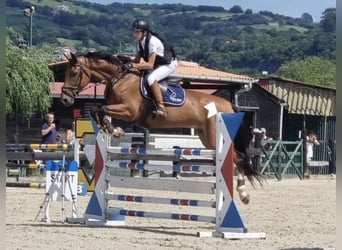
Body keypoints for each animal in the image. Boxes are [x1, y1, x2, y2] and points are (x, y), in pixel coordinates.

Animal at [60, 51, 260, 204]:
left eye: (74, 72)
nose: (65, 99)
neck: (120, 79)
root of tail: (228, 105)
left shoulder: (129, 111)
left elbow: (100, 109)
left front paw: (114, 130)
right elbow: (97, 110)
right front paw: (111, 129)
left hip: (213, 136)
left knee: (238, 158)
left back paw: (243, 193)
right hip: (206, 137)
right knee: (237, 157)